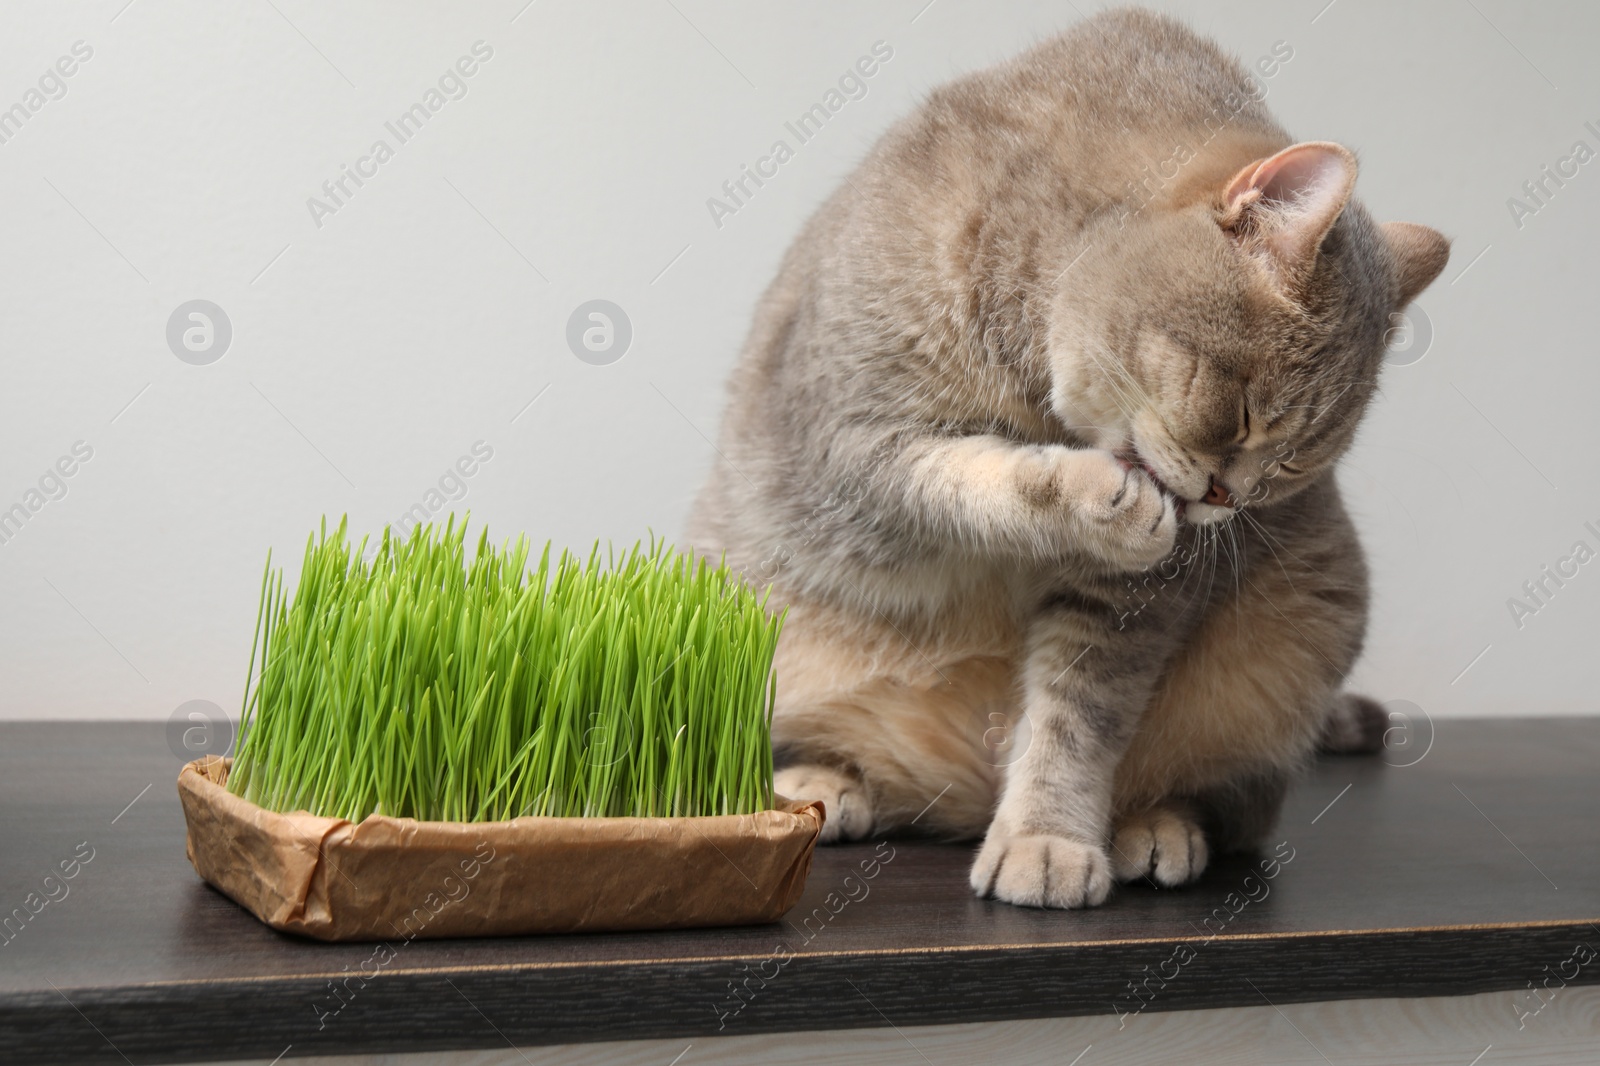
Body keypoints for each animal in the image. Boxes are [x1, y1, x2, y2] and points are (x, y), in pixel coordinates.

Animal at [684, 8, 1452, 902]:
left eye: (1294, 466)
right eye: (1246, 417)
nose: (1226, 500)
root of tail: (961, 788)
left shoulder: (1134, 602)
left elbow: (1074, 721)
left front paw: (1046, 837)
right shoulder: (847, 447)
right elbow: (964, 477)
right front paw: (1091, 494)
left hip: (1301, 637)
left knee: (1234, 804)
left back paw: (1157, 827)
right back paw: (822, 783)